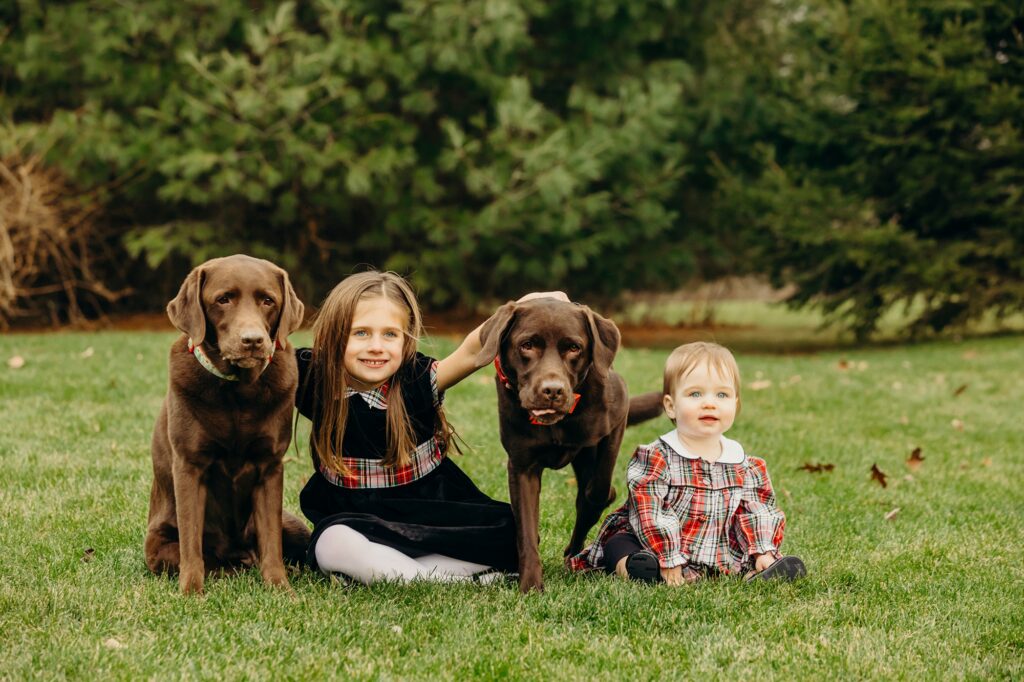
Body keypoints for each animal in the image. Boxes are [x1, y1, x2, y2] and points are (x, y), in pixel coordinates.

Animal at [146, 251, 309, 593]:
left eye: (268, 300)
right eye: (223, 299)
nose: (253, 340)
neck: (238, 392)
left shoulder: (270, 467)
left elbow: (271, 542)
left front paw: (280, 588)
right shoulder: (190, 466)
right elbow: (191, 545)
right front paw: (191, 592)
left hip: (295, 525)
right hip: (160, 548)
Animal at [475, 296, 659, 589]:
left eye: (574, 348)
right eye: (527, 345)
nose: (552, 390)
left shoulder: (616, 420)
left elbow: (598, 492)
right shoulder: (522, 467)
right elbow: (526, 528)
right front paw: (530, 585)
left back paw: (574, 555)